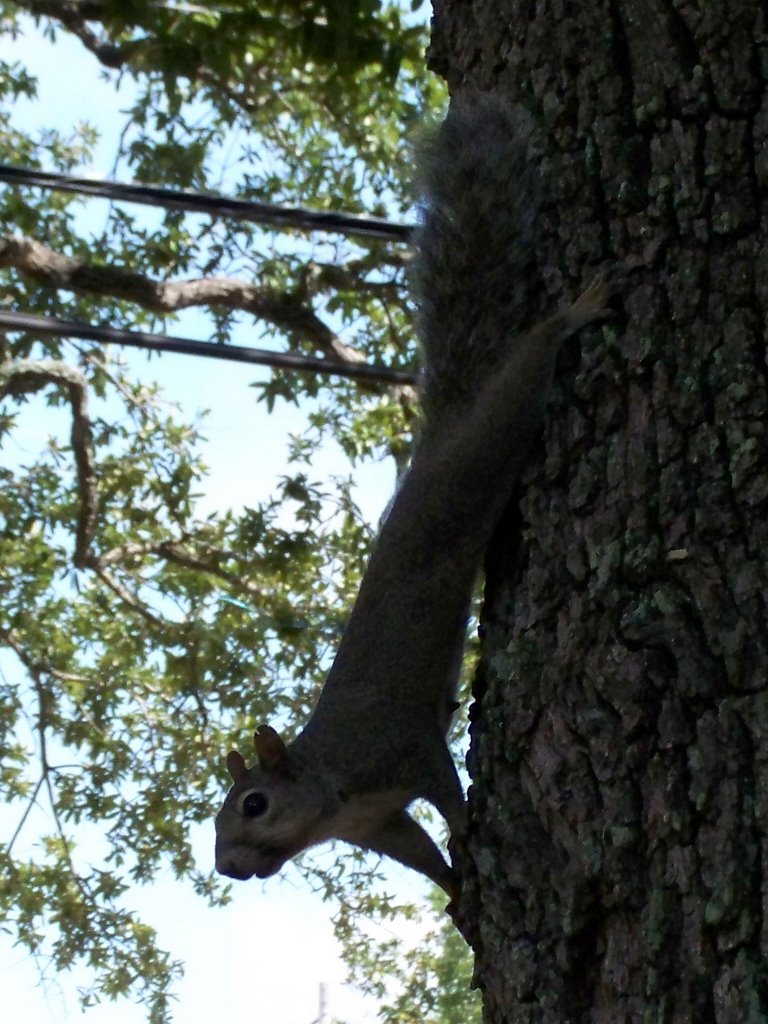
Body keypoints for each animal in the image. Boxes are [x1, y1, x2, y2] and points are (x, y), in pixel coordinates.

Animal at [214, 92, 622, 901]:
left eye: (254, 803)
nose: (225, 867)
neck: (331, 793)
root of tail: (436, 437)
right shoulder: (378, 826)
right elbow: (420, 853)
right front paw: (458, 898)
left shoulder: (399, 747)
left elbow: (444, 784)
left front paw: (469, 829)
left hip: (482, 453)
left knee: (522, 379)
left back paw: (570, 315)